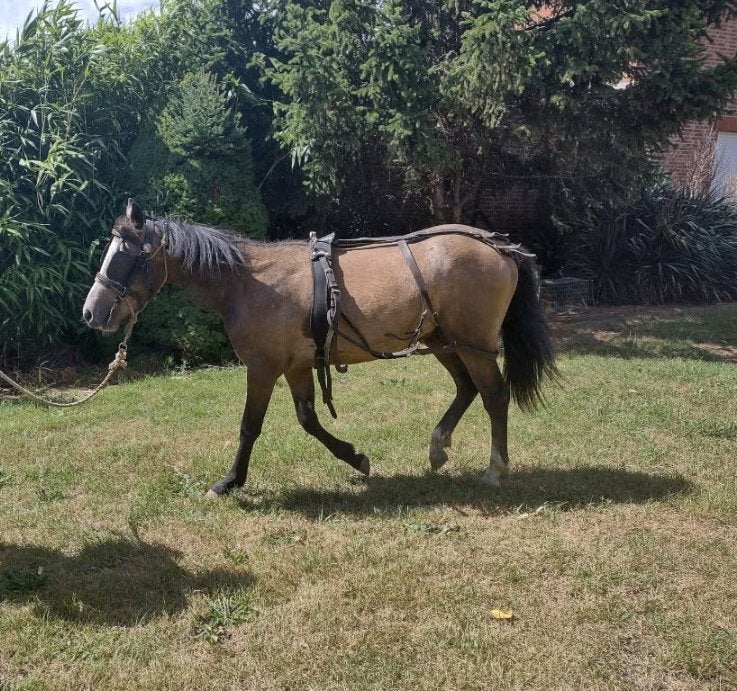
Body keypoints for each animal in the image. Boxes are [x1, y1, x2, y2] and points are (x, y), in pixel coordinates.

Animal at [82, 201, 558, 497]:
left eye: (126, 254)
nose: (91, 312)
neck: (249, 282)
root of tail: (501, 247)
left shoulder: (263, 366)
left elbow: (249, 427)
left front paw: (230, 481)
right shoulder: (296, 365)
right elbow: (308, 420)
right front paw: (356, 458)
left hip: (475, 345)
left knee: (494, 396)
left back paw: (495, 469)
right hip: (445, 342)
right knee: (466, 389)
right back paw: (438, 446)